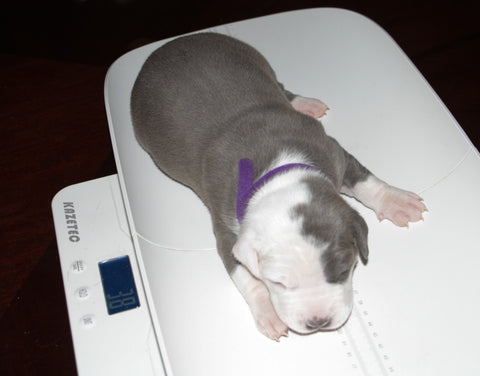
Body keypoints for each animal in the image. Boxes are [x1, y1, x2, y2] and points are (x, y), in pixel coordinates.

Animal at [129, 33, 426, 342]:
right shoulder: (226, 228)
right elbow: (245, 275)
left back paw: (305, 103)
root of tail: (171, 43)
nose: (318, 322)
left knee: (281, 87)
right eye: (278, 283)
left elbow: (365, 180)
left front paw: (397, 201)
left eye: (345, 269)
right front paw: (268, 310)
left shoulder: (332, 152)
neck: (279, 177)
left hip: (258, 62)